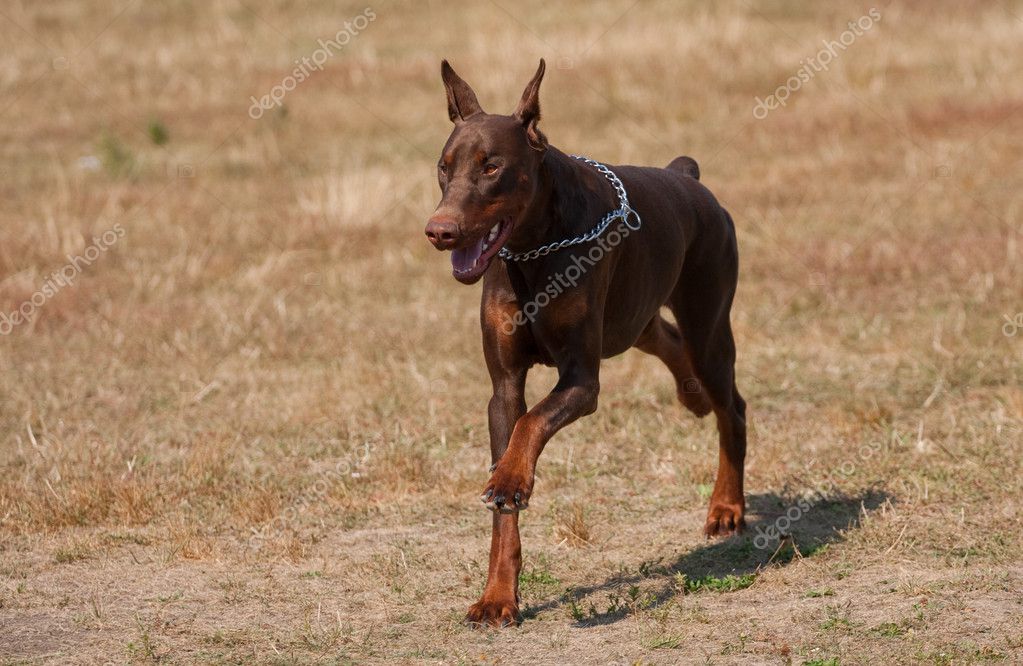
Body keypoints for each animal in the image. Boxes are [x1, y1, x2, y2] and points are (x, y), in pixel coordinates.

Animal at [419, 59, 748, 626]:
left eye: (492, 167)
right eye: (444, 167)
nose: (440, 231)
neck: (532, 249)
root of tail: (687, 178)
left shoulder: (580, 379)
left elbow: (531, 425)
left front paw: (511, 480)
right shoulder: (504, 385)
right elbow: (511, 444)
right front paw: (498, 597)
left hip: (709, 320)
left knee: (732, 406)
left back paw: (726, 507)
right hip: (633, 315)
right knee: (664, 339)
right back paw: (691, 397)